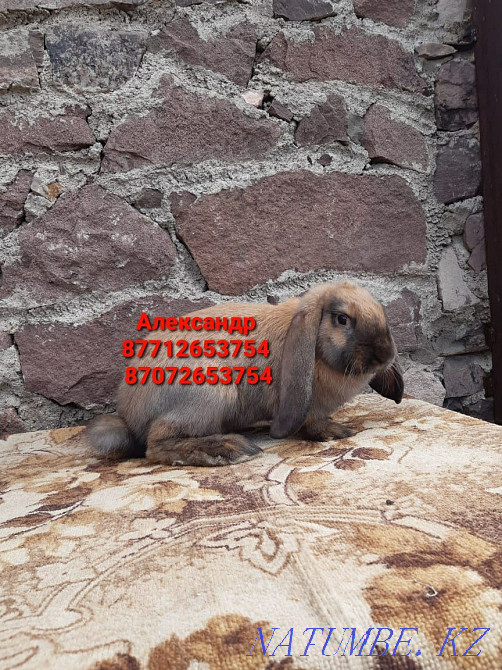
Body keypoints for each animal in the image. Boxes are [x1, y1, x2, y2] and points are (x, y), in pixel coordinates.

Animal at [86, 282, 403, 466]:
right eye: (342, 319)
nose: (385, 355)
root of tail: (129, 417)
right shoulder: (306, 405)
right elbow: (311, 422)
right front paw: (336, 431)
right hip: (209, 394)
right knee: (155, 445)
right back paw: (224, 449)